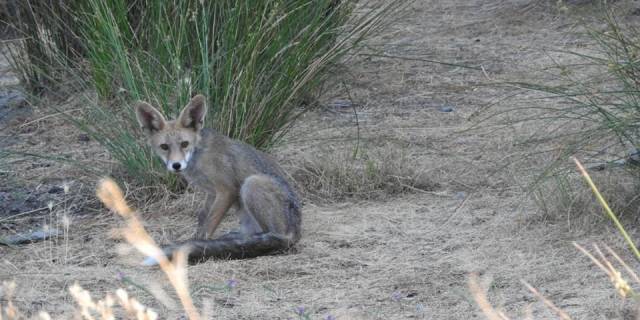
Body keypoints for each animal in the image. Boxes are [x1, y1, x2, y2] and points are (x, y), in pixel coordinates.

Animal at [133, 94, 302, 264]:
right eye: (164, 147)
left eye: (184, 144)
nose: (176, 165)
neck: (198, 156)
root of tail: (295, 233)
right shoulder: (211, 192)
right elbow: (202, 219)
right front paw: (197, 241)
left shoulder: (226, 190)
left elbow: (209, 225)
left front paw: (201, 247)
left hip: (251, 184)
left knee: (272, 237)